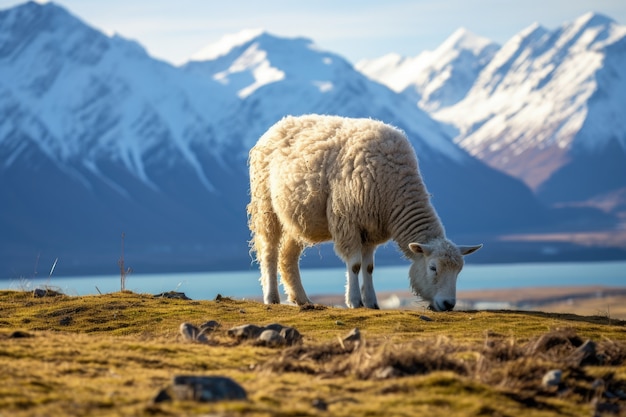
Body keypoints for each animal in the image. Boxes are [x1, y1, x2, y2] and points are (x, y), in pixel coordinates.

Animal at [246, 115, 480, 310]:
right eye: (433, 268)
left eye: (459, 270)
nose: (448, 304)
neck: (394, 189)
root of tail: (277, 125)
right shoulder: (348, 221)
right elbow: (356, 265)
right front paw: (354, 301)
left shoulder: (371, 228)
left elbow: (369, 268)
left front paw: (371, 302)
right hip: (265, 206)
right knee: (269, 252)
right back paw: (271, 297)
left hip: (297, 218)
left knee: (288, 256)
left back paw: (302, 299)